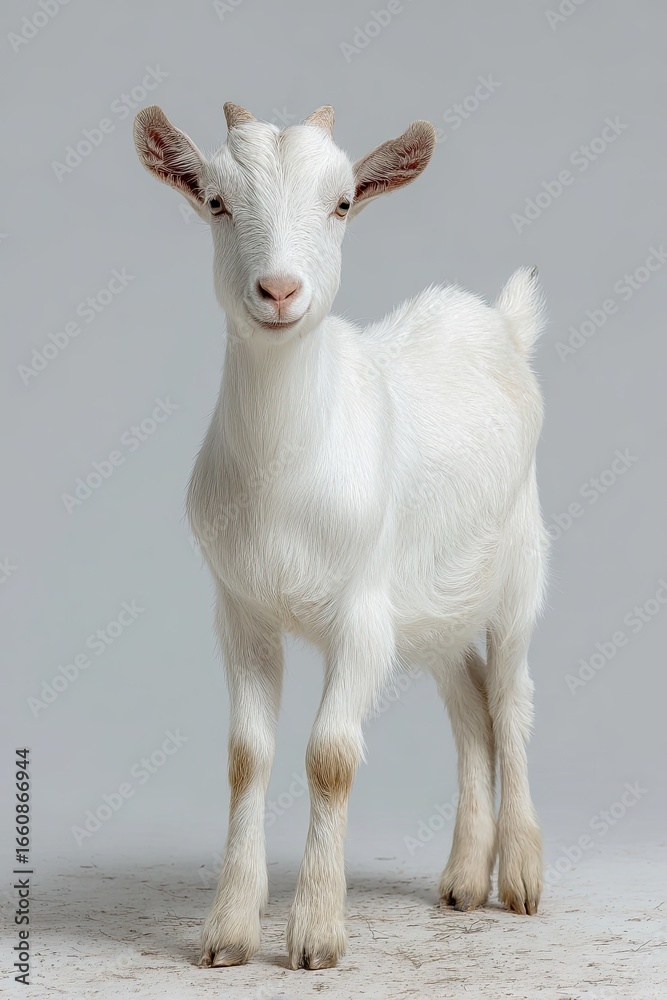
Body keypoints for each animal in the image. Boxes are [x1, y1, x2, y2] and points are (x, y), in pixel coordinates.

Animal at [134, 101, 549, 971]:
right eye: (216, 201)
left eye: (342, 203)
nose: (279, 289)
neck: (282, 474)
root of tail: (501, 324)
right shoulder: (242, 614)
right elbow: (245, 757)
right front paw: (228, 930)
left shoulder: (359, 615)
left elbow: (328, 757)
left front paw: (317, 934)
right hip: (430, 604)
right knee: (468, 705)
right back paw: (465, 879)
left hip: (518, 569)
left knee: (510, 698)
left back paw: (522, 877)